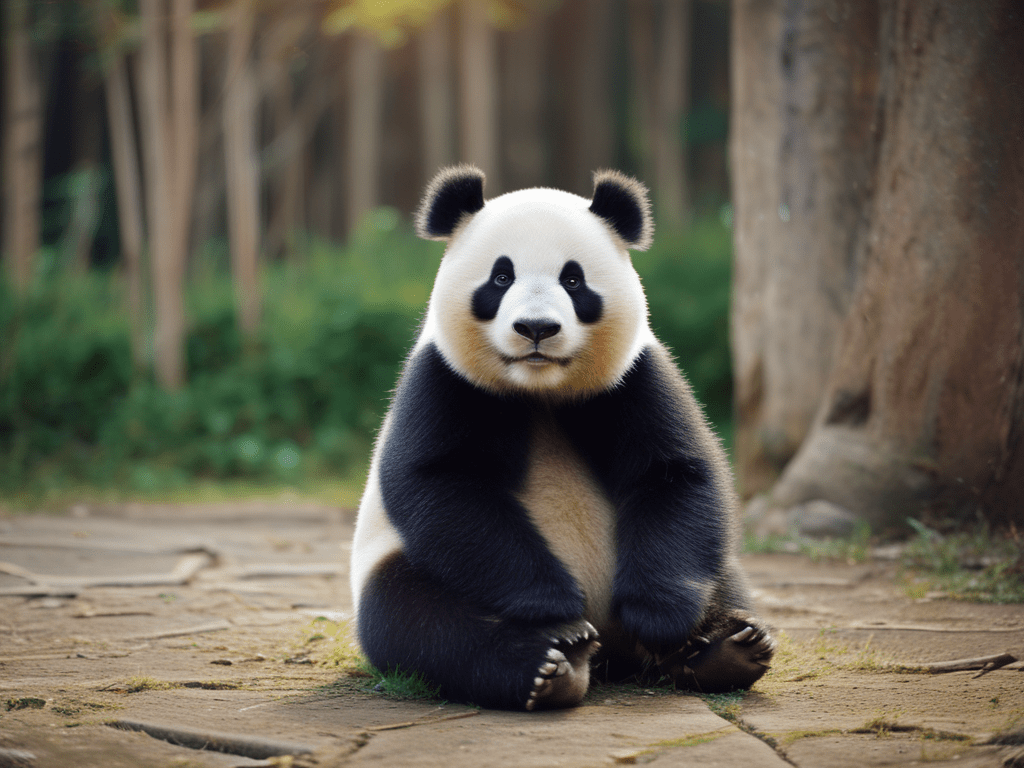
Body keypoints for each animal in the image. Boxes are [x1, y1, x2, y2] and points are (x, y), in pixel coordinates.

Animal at [350, 165, 774, 711]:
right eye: (501, 277)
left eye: (573, 280)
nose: (536, 328)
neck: (541, 390)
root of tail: (613, 654)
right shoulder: (444, 379)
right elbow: (443, 485)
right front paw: (555, 606)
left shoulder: (634, 377)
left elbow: (672, 471)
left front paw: (662, 618)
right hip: (404, 566)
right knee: (421, 622)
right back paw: (554, 660)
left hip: (701, 566)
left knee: (719, 575)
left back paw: (726, 649)